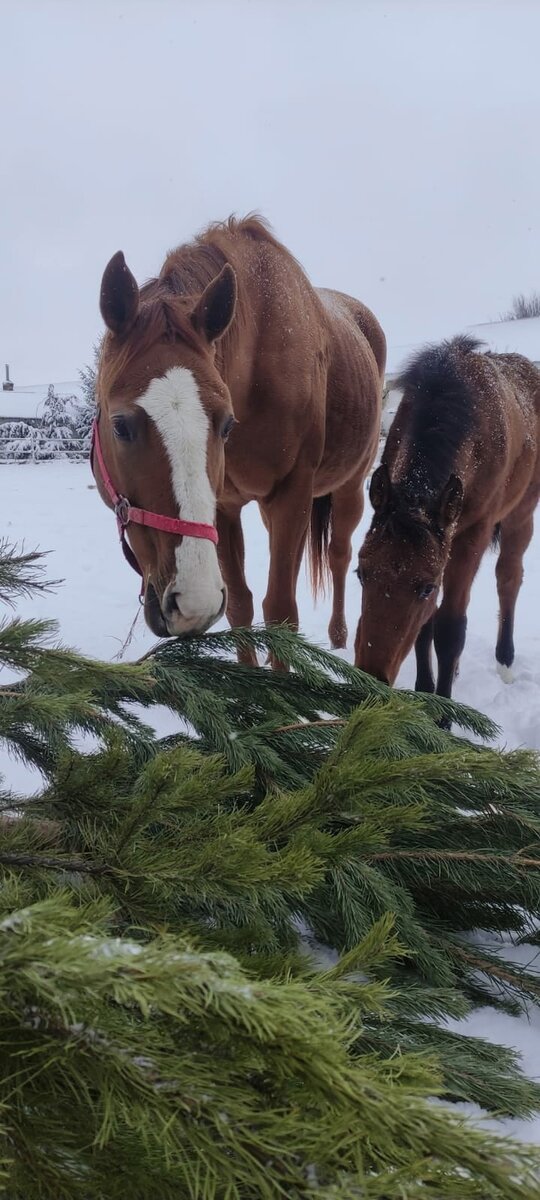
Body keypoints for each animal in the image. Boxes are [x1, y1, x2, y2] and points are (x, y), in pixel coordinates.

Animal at [94, 218, 386, 667]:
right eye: (120, 426)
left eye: (226, 423)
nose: (191, 602)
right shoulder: (224, 507)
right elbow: (240, 606)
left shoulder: (291, 494)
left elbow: (280, 610)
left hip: (349, 489)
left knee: (339, 553)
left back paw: (339, 634)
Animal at [355, 333, 540, 700]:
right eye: (361, 573)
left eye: (426, 587)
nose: (372, 676)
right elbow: (426, 626)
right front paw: (426, 691)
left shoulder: (472, 535)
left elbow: (451, 629)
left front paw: (442, 707)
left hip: (521, 515)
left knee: (509, 578)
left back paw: (505, 661)